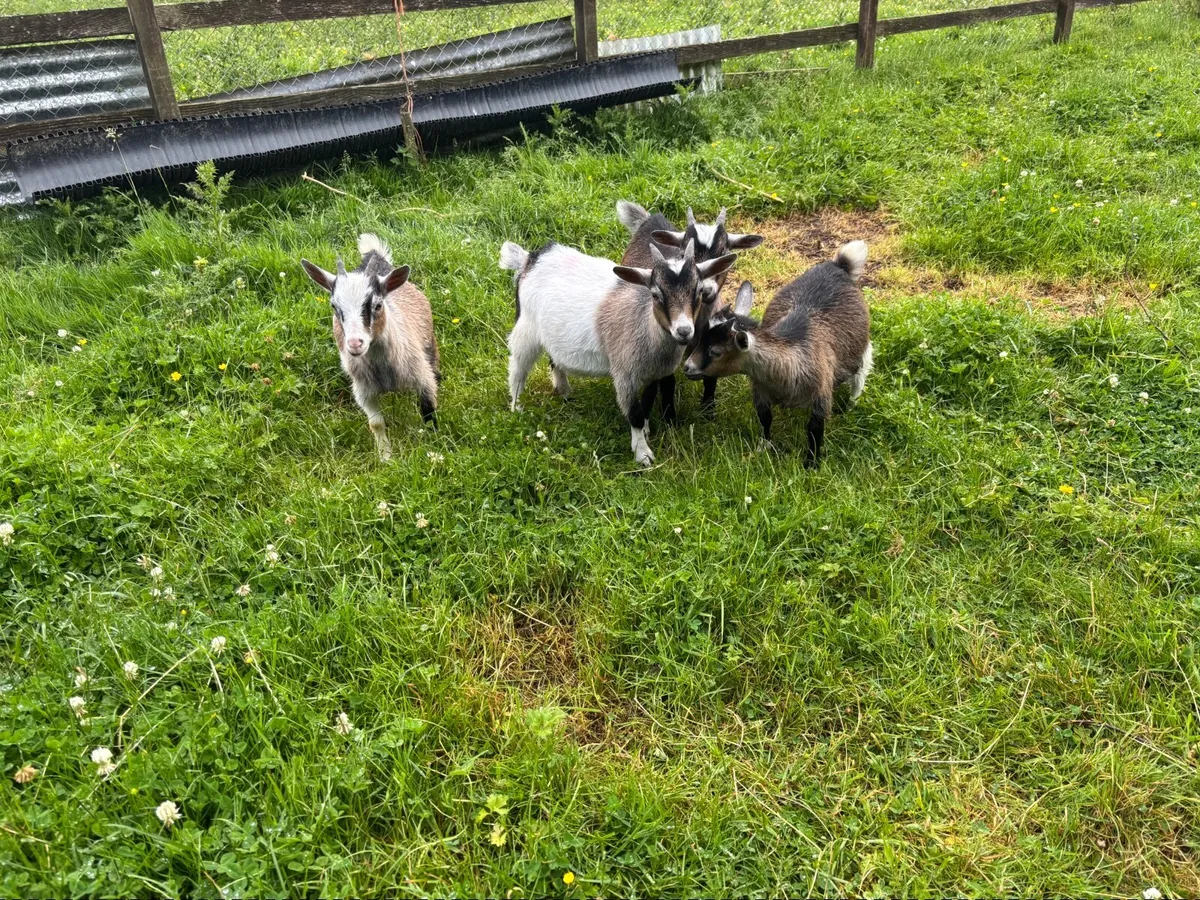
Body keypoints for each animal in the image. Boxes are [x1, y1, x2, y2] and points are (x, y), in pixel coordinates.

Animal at [301, 233, 440, 462]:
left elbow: (428, 412)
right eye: (334, 307)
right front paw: (385, 457)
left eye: (377, 305)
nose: (355, 343)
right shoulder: (364, 391)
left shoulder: (422, 378)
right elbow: (375, 423)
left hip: (429, 343)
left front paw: (435, 447)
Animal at [500, 237, 737, 467]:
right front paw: (643, 454)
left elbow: (647, 401)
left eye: (698, 291)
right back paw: (516, 407)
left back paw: (564, 391)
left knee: (554, 359)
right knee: (518, 368)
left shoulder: (653, 373)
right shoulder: (624, 373)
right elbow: (634, 414)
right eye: (655, 294)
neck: (644, 323)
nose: (684, 330)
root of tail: (530, 259)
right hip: (526, 327)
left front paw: (646, 431)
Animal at [616, 201, 763, 420]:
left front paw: (708, 411)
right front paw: (669, 417)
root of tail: (651, 219)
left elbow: (711, 378)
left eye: (724, 252)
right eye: (685, 252)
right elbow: (668, 382)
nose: (707, 289)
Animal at [683, 241, 872, 467]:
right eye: (700, 338)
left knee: (862, 370)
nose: (687, 367)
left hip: (860, 346)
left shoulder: (821, 395)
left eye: (715, 351)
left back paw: (852, 404)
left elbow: (814, 430)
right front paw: (763, 447)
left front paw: (812, 464)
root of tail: (837, 265)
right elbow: (765, 419)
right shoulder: (760, 391)